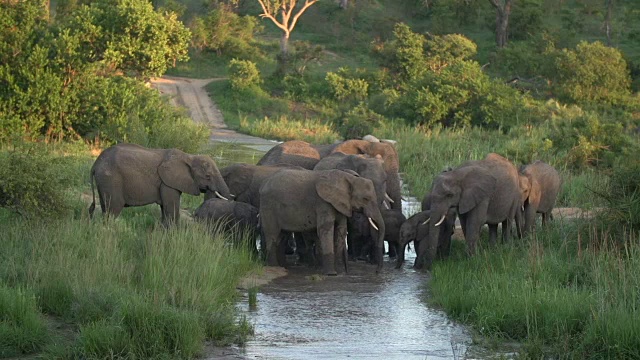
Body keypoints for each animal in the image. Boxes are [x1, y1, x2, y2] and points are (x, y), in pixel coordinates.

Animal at [89, 143, 231, 225]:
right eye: (208, 176)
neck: (189, 157)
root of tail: (95, 164)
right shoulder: (167, 182)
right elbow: (171, 209)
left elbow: (165, 209)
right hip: (111, 179)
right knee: (113, 209)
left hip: (104, 181)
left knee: (105, 208)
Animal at [256, 169, 384, 276]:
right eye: (366, 199)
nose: (377, 272)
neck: (348, 178)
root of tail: (263, 185)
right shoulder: (323, 203)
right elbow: (326, 230)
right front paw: (331, 274)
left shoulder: (340, 204)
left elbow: (341, 229)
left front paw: (337, 272)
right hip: (269, 206)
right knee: (272, 235)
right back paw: (274, 267)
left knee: (282, 237)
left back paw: (283, 267)